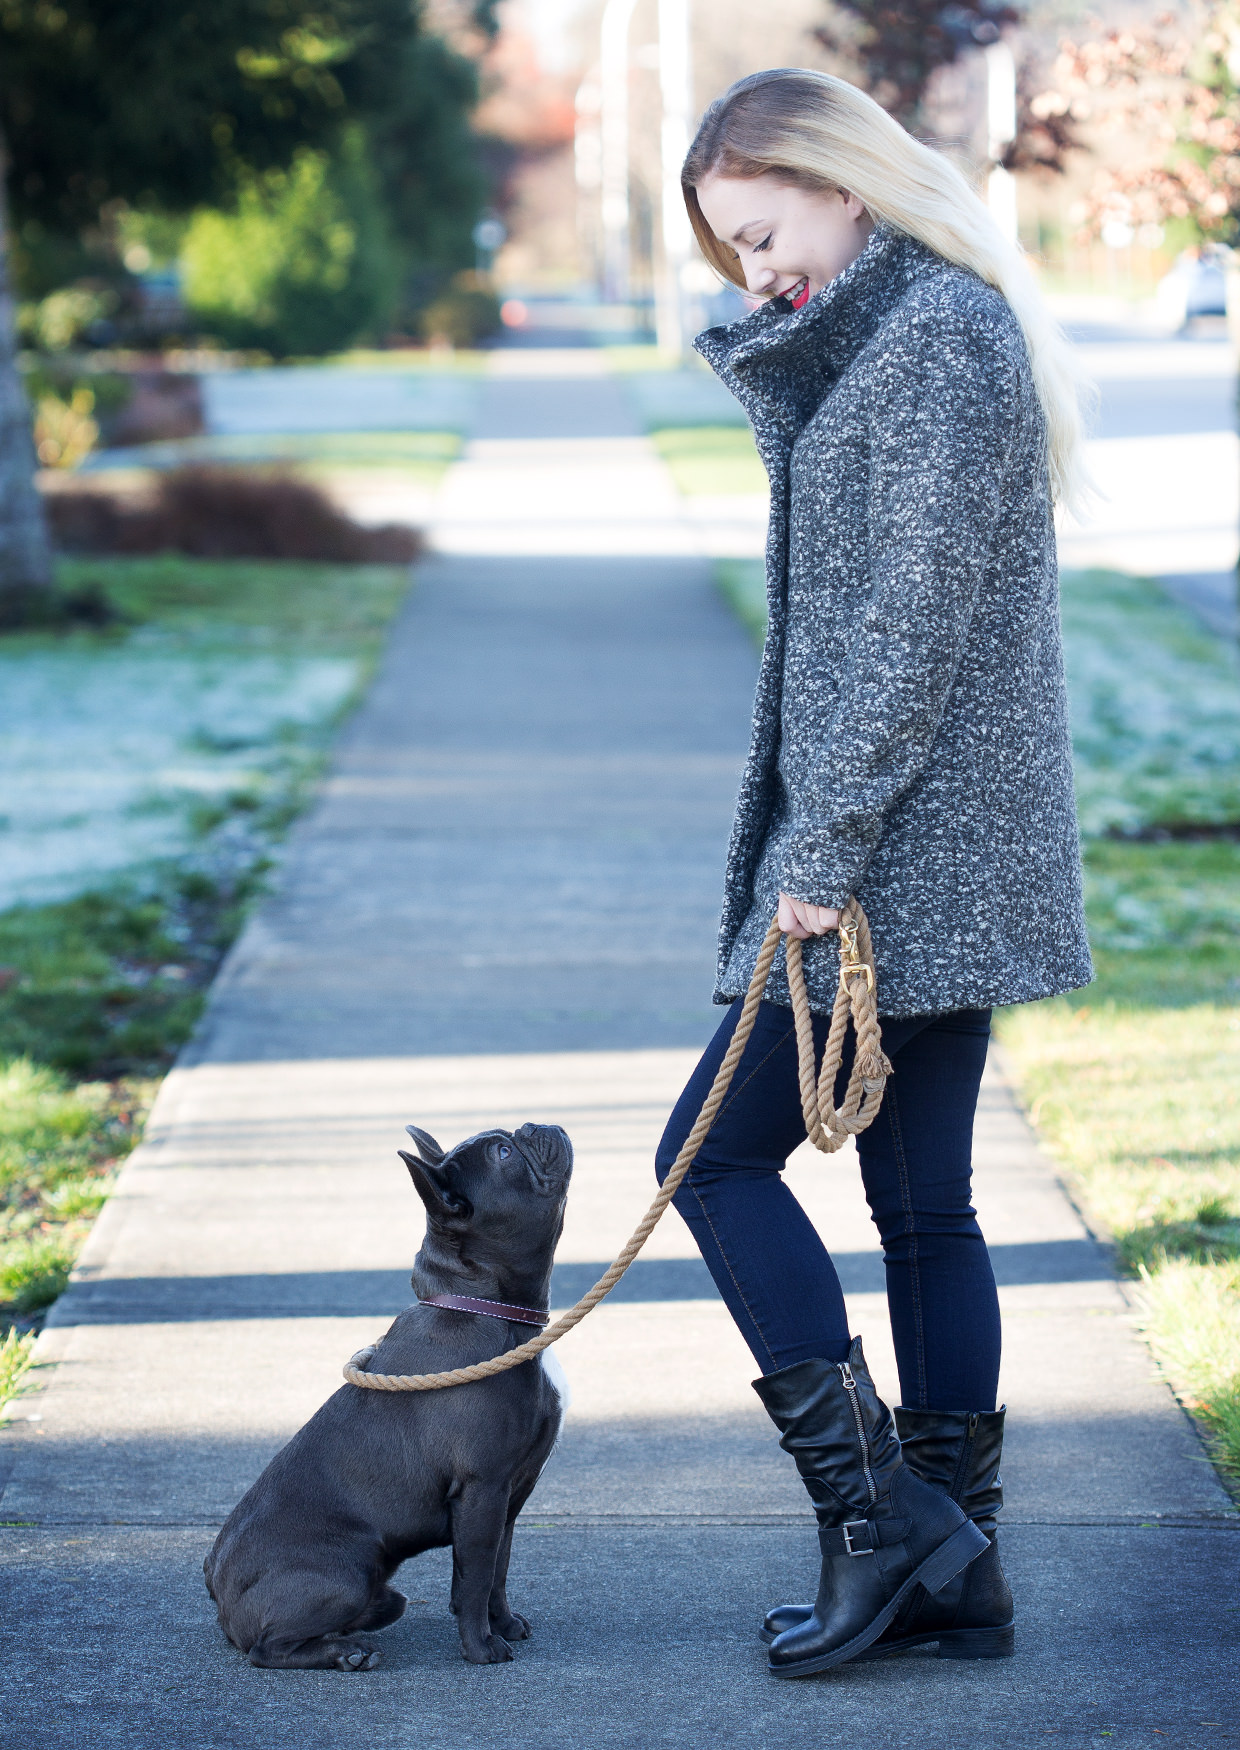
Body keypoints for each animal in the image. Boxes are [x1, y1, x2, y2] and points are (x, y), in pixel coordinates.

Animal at [202, 1120, 570, 1666]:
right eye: (504, 1153)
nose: (533, 1125)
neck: (488, 1311)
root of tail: (219, 1596)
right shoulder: (482, 1489)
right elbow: (476, 1578)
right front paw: (481, 1647)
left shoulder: (507, 1497)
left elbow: (498, 1570)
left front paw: (504, 1624)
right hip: (347, 1573)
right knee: (266, 1649)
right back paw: (347, 1653)